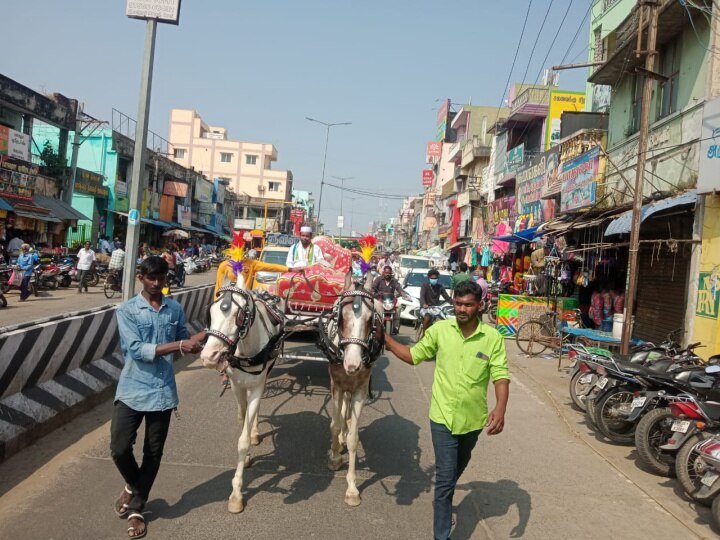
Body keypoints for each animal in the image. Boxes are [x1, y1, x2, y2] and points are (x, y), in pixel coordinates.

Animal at [201, 276, 286, 512]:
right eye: (210, 312)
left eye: (238, 316)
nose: (209, 356)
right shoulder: (236, 385)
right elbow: (241, 420)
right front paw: (247, 456)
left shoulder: (257, 385)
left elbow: (243, 439)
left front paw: (236, 494)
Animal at [320, 272, 386, 504]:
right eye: (341, 317)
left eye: (370, 319)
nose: (352, 364)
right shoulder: (336, 385)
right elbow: (334, 425)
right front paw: (334, 457)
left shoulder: (359, 391)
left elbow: (353, 437)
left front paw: (352, 488)